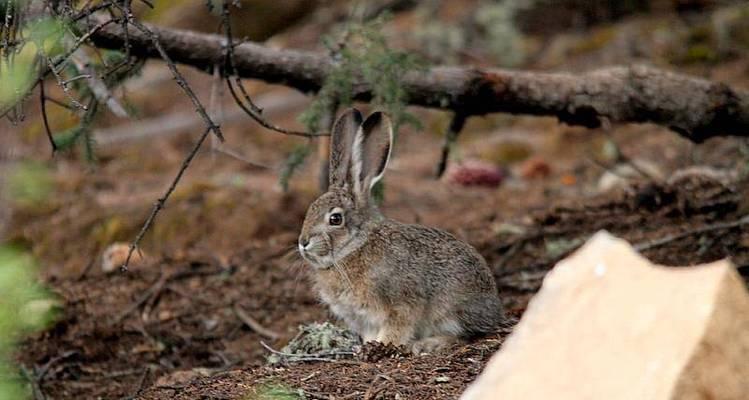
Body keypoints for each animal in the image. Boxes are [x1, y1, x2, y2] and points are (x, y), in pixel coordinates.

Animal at [298, 108, 502, 354]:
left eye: (335, 219)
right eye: (310, 210)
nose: (303, 242)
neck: (355, 247)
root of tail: (494, 308)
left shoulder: (401, 303)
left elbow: (397, 327)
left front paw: (384, 345)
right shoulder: (363, 320)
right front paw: (366, 348)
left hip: (450, 310)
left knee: (464, 335)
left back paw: (428, 344)